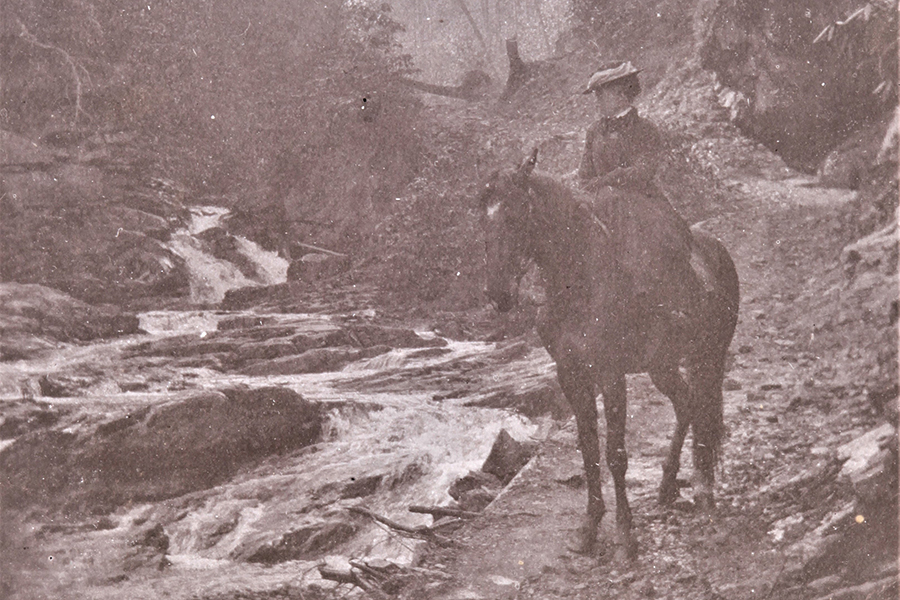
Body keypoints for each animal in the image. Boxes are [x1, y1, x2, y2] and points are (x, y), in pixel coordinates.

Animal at [479, 149, 739, 558]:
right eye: (483, 217)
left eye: (515, 215)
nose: (498, 293)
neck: (579, 281)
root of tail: (718, 251)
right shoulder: (570, 373)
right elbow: (588, 449)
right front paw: (588, 528)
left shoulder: (610, 374)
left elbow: (616, 454)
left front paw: (625, 535)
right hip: (662, 366)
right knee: (687, 405)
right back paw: (668, 486)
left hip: (708, 358)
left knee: (704, 413)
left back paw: (703, 490)